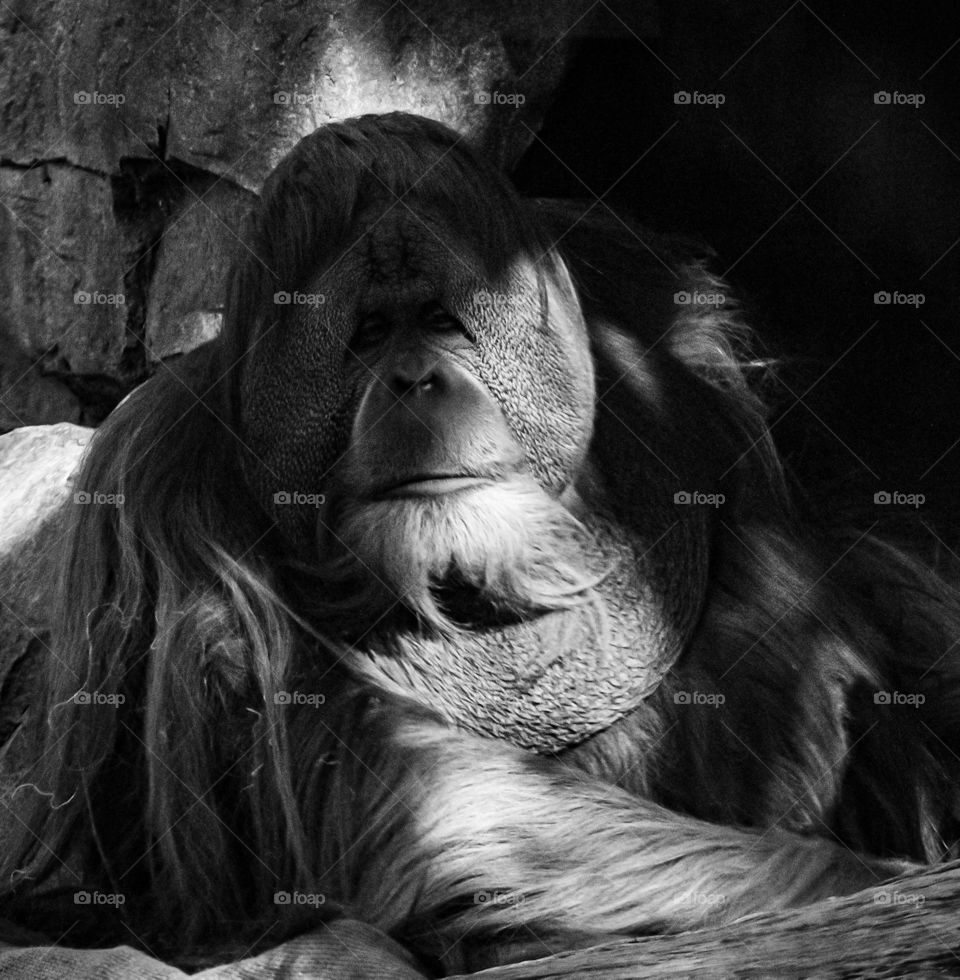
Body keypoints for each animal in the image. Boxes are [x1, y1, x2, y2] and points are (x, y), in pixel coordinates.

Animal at [2, 111, 958, 975]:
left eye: (438, 320)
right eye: (368, 335)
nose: (414, 378)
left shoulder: (669, 331)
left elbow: (812, 581)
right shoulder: (161, 491)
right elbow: (387, 779)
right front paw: (857, 880)